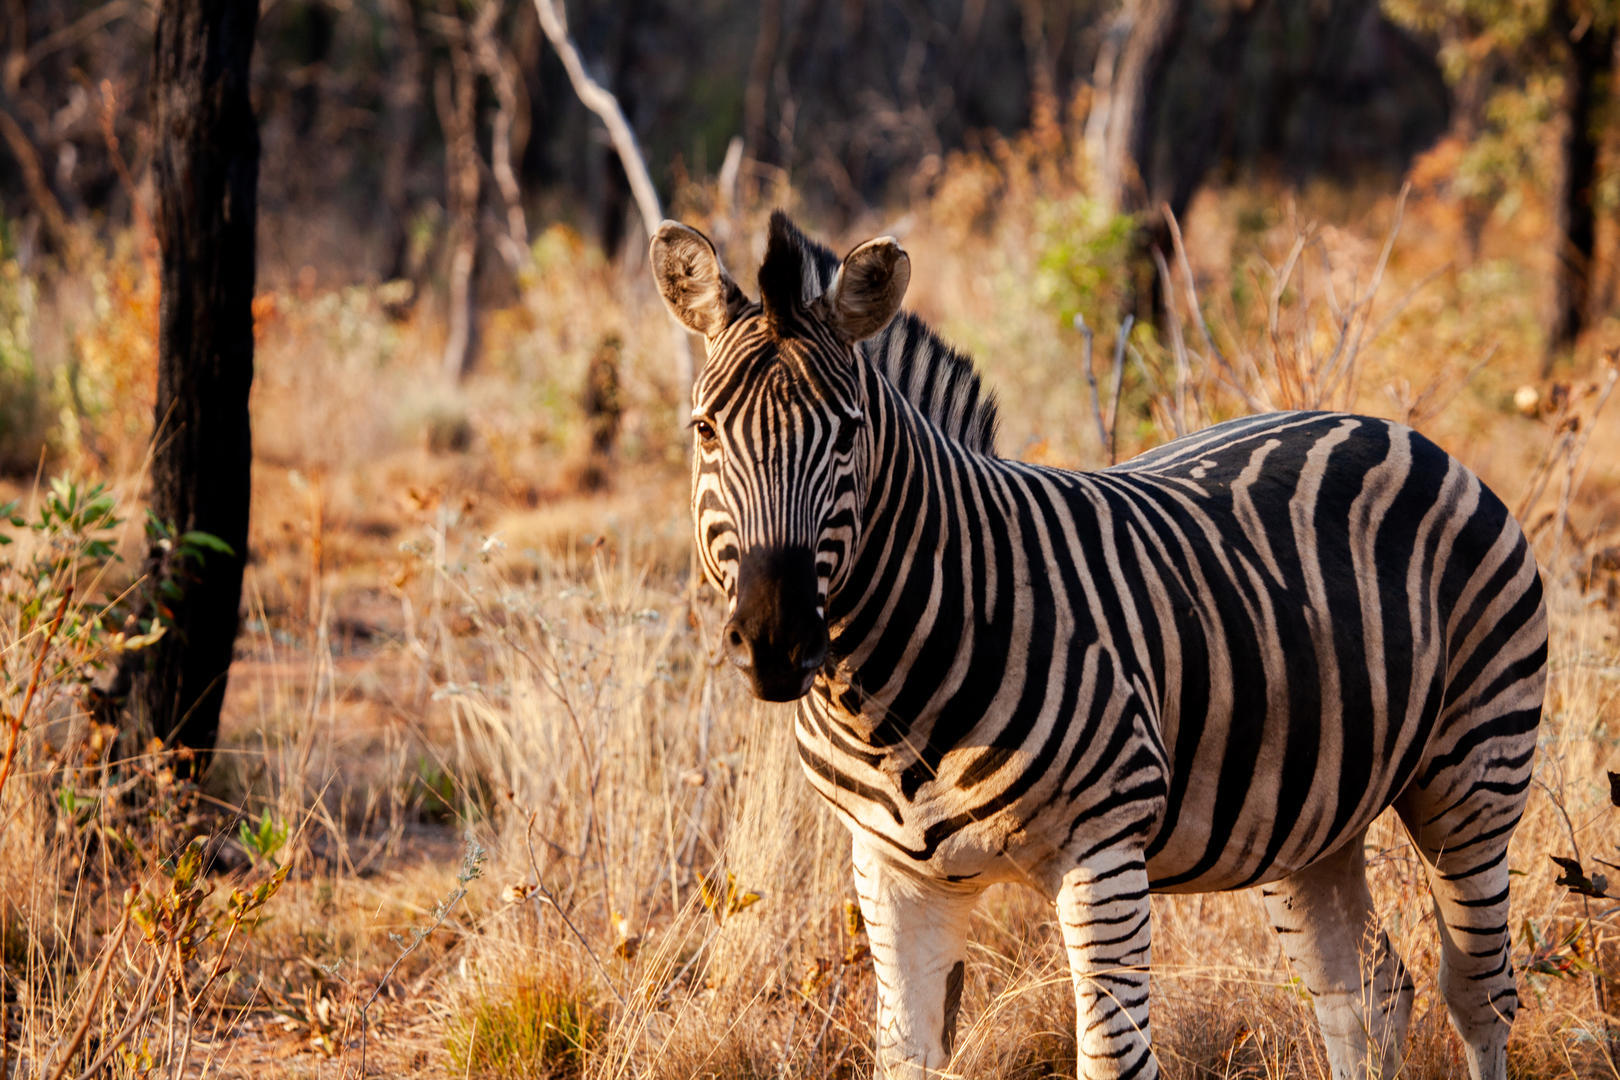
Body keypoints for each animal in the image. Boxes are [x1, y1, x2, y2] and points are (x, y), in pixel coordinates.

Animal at [650, 210, 1546, 1080]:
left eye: (847, 435)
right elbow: (904, 1057)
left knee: (1478, 995)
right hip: (1314, 815)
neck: (885, 702)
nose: (776, 640)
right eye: (705, 430)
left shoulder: (1103, 852)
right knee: (1365, 994)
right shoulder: (892, 872)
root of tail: (1391, 428)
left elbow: (1114, 1061)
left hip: (1472, 778)